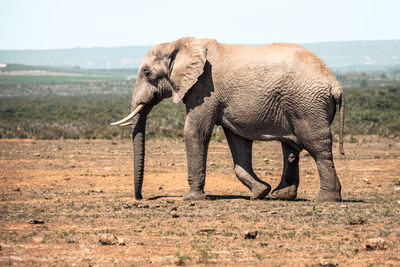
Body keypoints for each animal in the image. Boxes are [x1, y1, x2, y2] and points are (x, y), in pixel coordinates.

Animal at [111, 37, 344, 203]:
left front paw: (191, 198)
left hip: (308, 105)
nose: (140, 198)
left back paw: (325, 199)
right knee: (290, 149)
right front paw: (259, 192)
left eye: (147, 73)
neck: (180, 44)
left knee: (317, 147)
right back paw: (281, 195)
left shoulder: (205, 88)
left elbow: (195, 132)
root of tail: (334, 84)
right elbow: (238, 141)